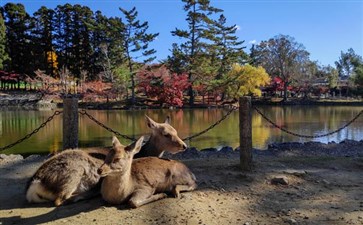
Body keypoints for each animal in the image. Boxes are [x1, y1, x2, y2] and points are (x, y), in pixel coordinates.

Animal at [25, 116, 188, 206]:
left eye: (176, 131)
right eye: (166, 134)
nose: (184, 145)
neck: (142, 153)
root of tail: (34, 184)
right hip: (73, 173)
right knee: (60, 199)